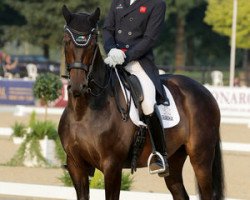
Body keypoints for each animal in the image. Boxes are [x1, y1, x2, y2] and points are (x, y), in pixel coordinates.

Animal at [58, 5, 225, 199]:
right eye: (66, 41)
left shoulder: (111, 166)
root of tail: (205, 91)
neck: (83, 112)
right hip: (175, 158)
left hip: (201, 158)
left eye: (92, 44)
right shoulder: (75, 165)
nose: (78, 86)